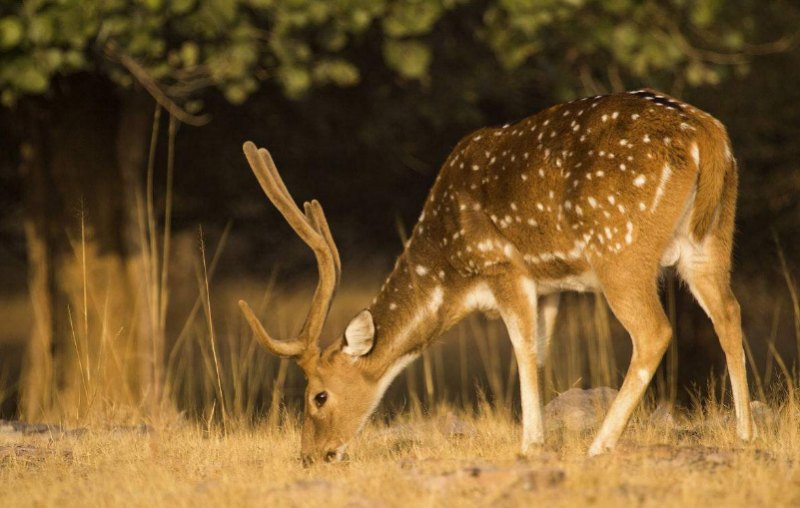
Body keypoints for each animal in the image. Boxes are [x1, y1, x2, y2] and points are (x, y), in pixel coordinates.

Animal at [241, 88, 752, 464]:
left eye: (318, 396)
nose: (311, 456)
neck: (452, 273)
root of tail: (708, 135)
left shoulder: (504, 265)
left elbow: (522, 351)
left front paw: (530, 444)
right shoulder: (551, 285)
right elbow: (542, 353)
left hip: (620, 248)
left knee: (653, 331)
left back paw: (599, 444)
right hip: (711, 239)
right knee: (729, 312)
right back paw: (746, 435)